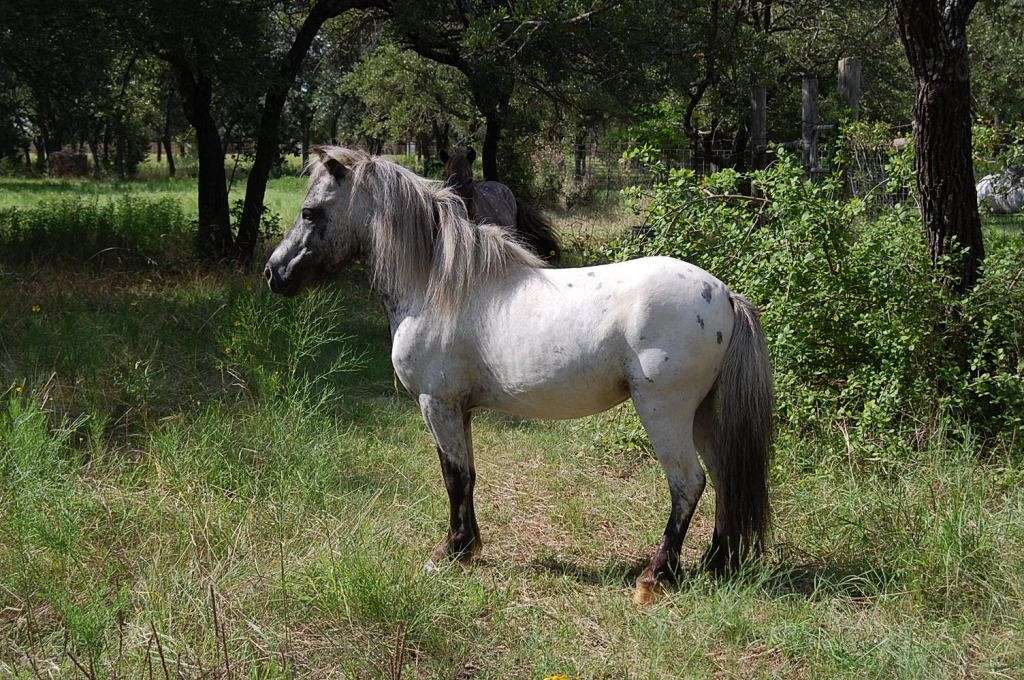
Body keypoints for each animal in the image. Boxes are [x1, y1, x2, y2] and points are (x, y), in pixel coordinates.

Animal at [265, 146, 774, 604]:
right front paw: (468, 547)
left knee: (688, 483)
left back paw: (656, 576)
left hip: (664, 412)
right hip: (703, 416)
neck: (437, 285)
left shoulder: (437, 404)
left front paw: (450, 552)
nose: (274, 273)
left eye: (310, 212)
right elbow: (468, 474)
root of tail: (725, 294)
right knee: (723, 476)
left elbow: (453, 475)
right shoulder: (461, 410)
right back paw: (715, 563)